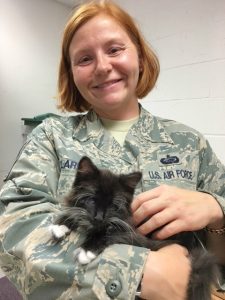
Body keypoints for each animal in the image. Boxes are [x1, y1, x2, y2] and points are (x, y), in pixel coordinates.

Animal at [51, 157, 219, 300]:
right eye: (92, 200)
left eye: (113, 206)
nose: (99, 217)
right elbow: (75, 212)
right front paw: (61, 223)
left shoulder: (131, 234)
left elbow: (110, 233)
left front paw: (86, 250)